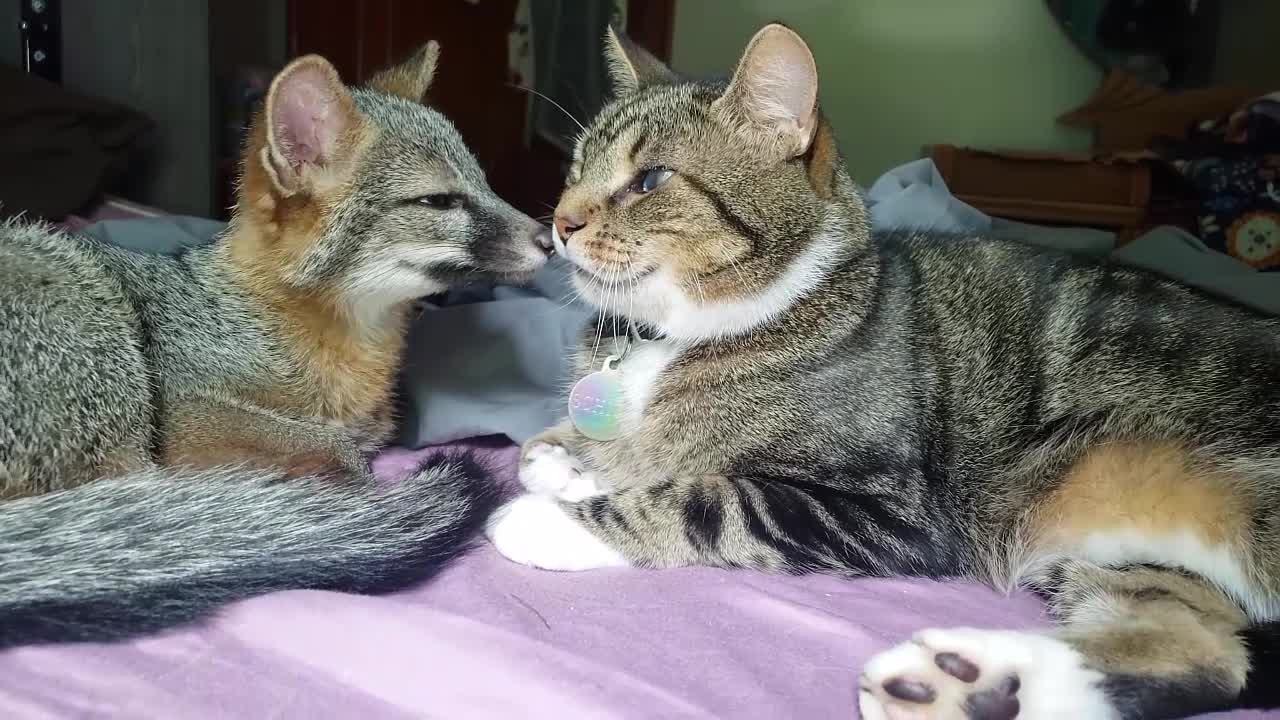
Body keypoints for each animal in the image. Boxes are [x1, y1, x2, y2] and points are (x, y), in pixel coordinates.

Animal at [0, 43, 545, 645]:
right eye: (439, 201)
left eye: (487, 184)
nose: (550, 237)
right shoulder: (187, 412)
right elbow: (341, 452)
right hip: (99, 328)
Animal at [483, 22, 1280, 717]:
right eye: (573, 169)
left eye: (650, 180)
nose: (557, 224)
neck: (676, 335)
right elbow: (577, 451)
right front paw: (572, 462)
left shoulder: (892, 510)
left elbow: (711, 501)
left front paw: (552, 517)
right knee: (1200, 652)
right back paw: (967, 684)